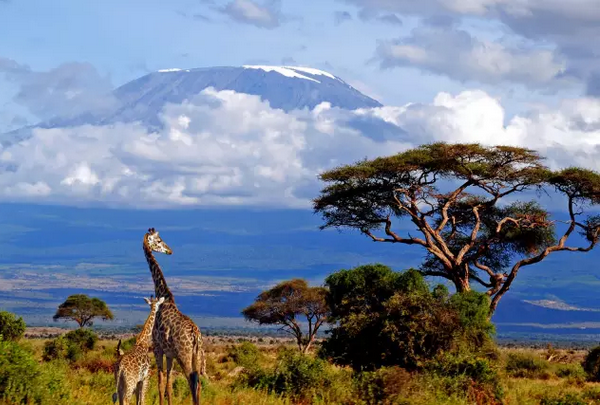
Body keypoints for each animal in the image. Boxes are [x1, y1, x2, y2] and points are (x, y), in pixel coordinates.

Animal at [143, 227, 206, 404]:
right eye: (158, 241)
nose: (169, 251)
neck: (164, 296)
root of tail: (195, 335)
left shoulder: (157, 348)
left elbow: (160, 382)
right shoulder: (169, 354)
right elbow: (169, 385)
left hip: (184, 356)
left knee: (192, 381)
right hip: (197, 356)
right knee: (198, 383)